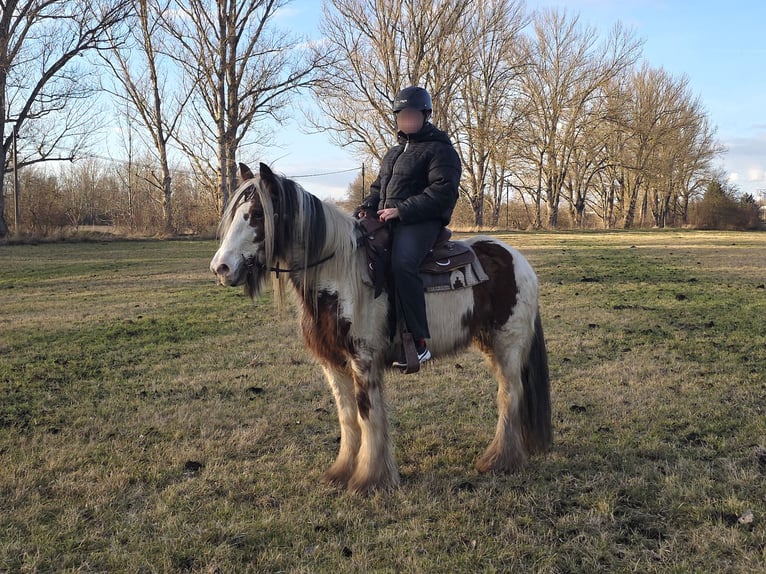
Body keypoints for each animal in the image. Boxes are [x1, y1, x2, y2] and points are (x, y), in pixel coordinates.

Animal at [210, 162, 552, 494]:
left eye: (257, 214)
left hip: (508, 345)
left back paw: (500, 460)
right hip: (488, 343)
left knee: (510, 395)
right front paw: (341, 472)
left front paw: (369, 479)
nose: (221, 268)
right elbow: (347, 417)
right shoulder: (333, 363)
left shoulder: (363, 360)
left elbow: (368, 415)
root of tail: (519, 261)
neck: (338, 274)